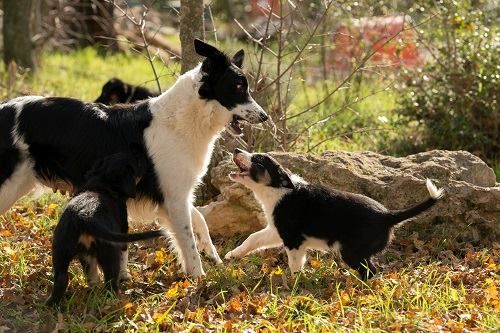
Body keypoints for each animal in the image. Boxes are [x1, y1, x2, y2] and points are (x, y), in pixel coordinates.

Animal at [46, 152, 166, 304]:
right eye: (138, 162)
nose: (146, 157)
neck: (103, 183)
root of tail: (84, 216)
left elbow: (92, 272)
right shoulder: (123, 229)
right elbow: (124, 255)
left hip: (60, 251)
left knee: (61, 279)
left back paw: (53, 303)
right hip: (109, 252)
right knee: (110, 281)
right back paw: (115, 299)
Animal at [225, 149, 444, 278]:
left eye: (258, 160)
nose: (236, 150)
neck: (278, 188)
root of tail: (387, 215)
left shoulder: (293, 239)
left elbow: (295, 263)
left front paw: (294, 284)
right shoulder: (276, 230)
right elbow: (253, 238)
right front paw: (232, 254)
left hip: (351, 252)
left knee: (371, 271)